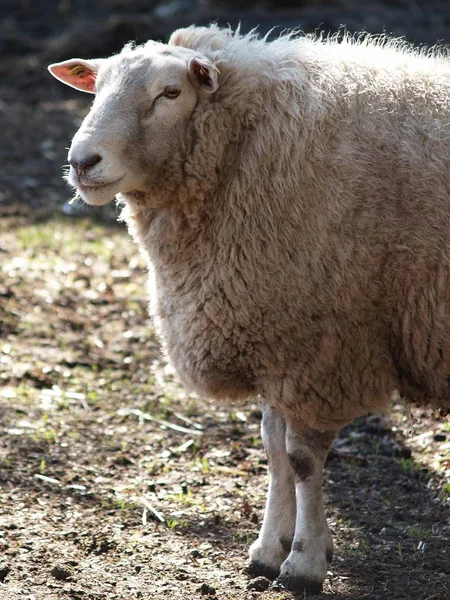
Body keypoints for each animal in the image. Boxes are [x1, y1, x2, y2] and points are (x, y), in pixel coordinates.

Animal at [47, 25, 450, 592]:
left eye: (171, 92)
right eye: (96, 87)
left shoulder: (317, 349)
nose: (82, 162)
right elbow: (273, 450)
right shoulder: (276, 333)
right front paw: (267, 549)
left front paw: (304, 562)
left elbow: (301, 458)